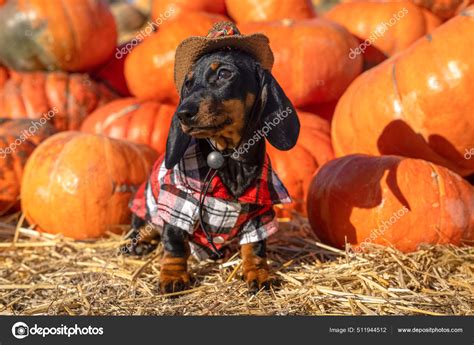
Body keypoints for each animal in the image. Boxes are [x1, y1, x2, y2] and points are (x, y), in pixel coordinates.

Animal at [123, 21, 300, 292]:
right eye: (187, 82)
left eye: (224, 74)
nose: (183, 113)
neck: (227, 157)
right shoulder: (178, 202)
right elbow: (175, 243)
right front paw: (173, 276)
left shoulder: (259, 214)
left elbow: (255, 247)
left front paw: (258, 273)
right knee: (143, 226)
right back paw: (139, 243)